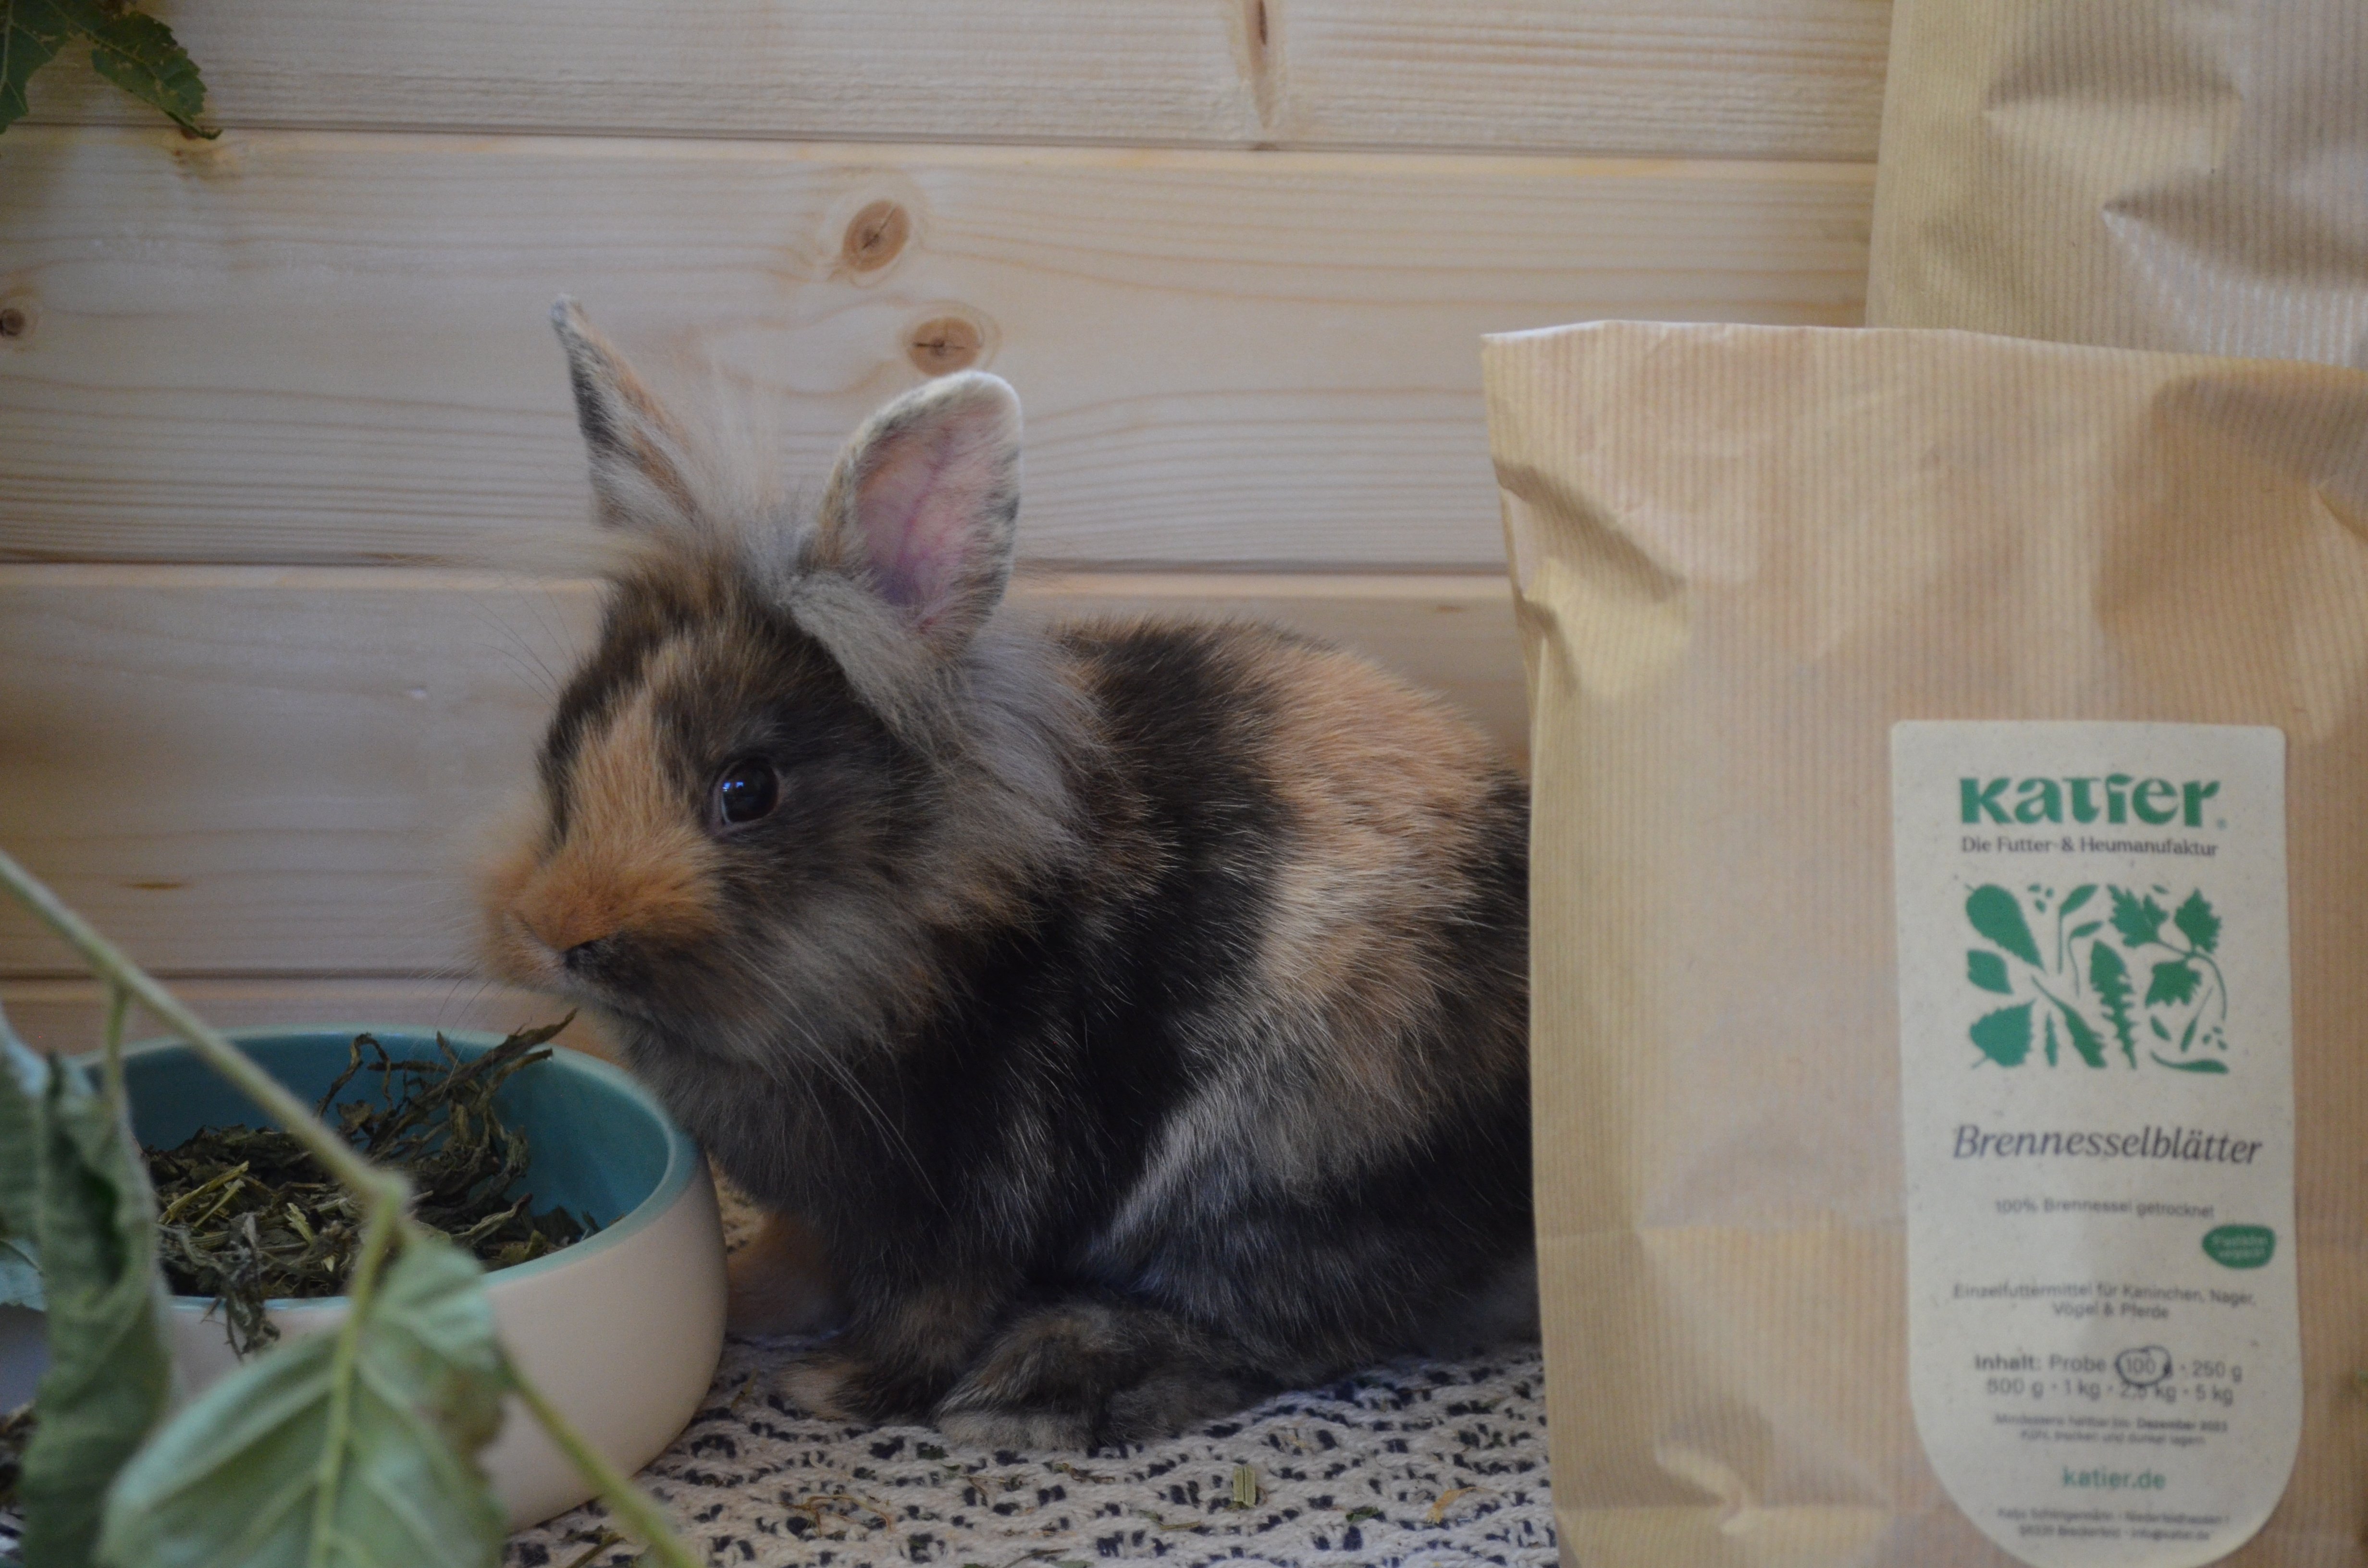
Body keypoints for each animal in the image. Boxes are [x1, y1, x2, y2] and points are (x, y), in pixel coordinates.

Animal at [479, 300, 1535, 1449]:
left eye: (746, 788)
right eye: (567, 734)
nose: (557, 932)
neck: (904, 939)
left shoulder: (975, 1188)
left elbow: (931, 1310)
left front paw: (831, 1388)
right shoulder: (832, 1203)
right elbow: (808, 1254)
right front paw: (751, 1304)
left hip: (1289, 1175)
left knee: (1281, 1330)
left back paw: (1042, 1379)